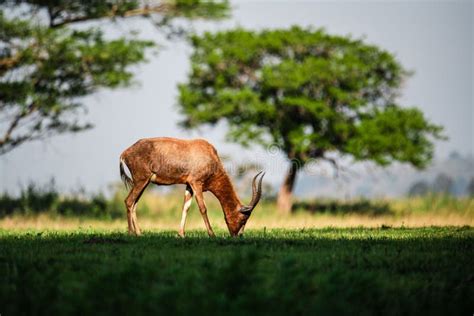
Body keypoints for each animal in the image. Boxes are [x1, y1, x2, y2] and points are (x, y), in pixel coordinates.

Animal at [118, 136, 264, 237]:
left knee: (134, 204)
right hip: (141, 181)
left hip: (144, 182)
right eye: (244, 218)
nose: (238, 236)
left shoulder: (188, 185)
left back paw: (139, 233)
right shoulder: (196, 183)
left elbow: (185, 207)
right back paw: (131, 233)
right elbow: (203, 208)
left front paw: (181, 234)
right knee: (129, 201)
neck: (208, 153)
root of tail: (125, 153)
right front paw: (212, 234)